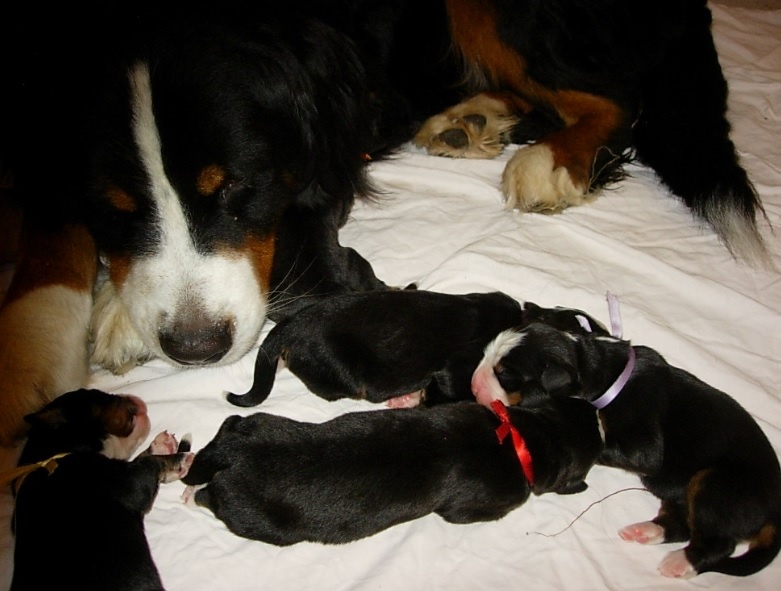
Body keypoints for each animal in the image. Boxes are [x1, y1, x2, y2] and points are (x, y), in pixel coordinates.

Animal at [8, 388, 194, 591]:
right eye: (99, 395)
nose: (133, 398)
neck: (51, 455)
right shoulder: (127, 482)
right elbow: (149, 462)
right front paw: (182, 458)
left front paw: (162, 444)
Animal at [180, 400, 600, 548]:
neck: (525, 436)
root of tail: (233, 454)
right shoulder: (476, 505)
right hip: (252, 515)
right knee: (209, 497)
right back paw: (191, 493)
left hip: (250, 423)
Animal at [472, 302, 780, 580]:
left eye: (505, 374)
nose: (474, 386)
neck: (598, 369)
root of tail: (773, 513)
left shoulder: (642, 440)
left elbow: (608, 442)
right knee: (682, 523)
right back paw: (646, 531)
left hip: (714, 483)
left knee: (718, 542)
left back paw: (680, 563)